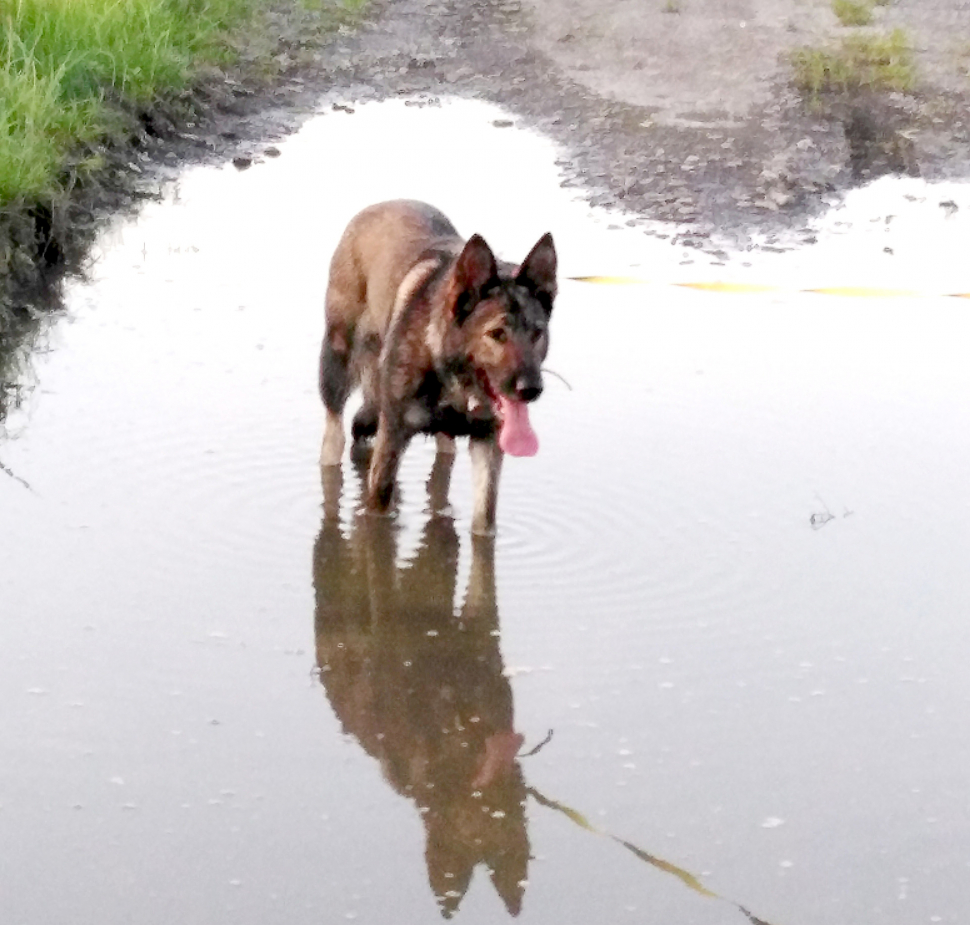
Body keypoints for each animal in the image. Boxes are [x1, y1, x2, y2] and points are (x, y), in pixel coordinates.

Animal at [322, 202, 556, 536]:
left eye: (537, 333)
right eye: (497, 334)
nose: (531, 389)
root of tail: (379, 206)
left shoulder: (488, 444)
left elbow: (484, 520)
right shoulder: (391, 439)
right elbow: (377, 511)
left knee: (444, 456)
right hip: (336, 366)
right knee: (334, 434)